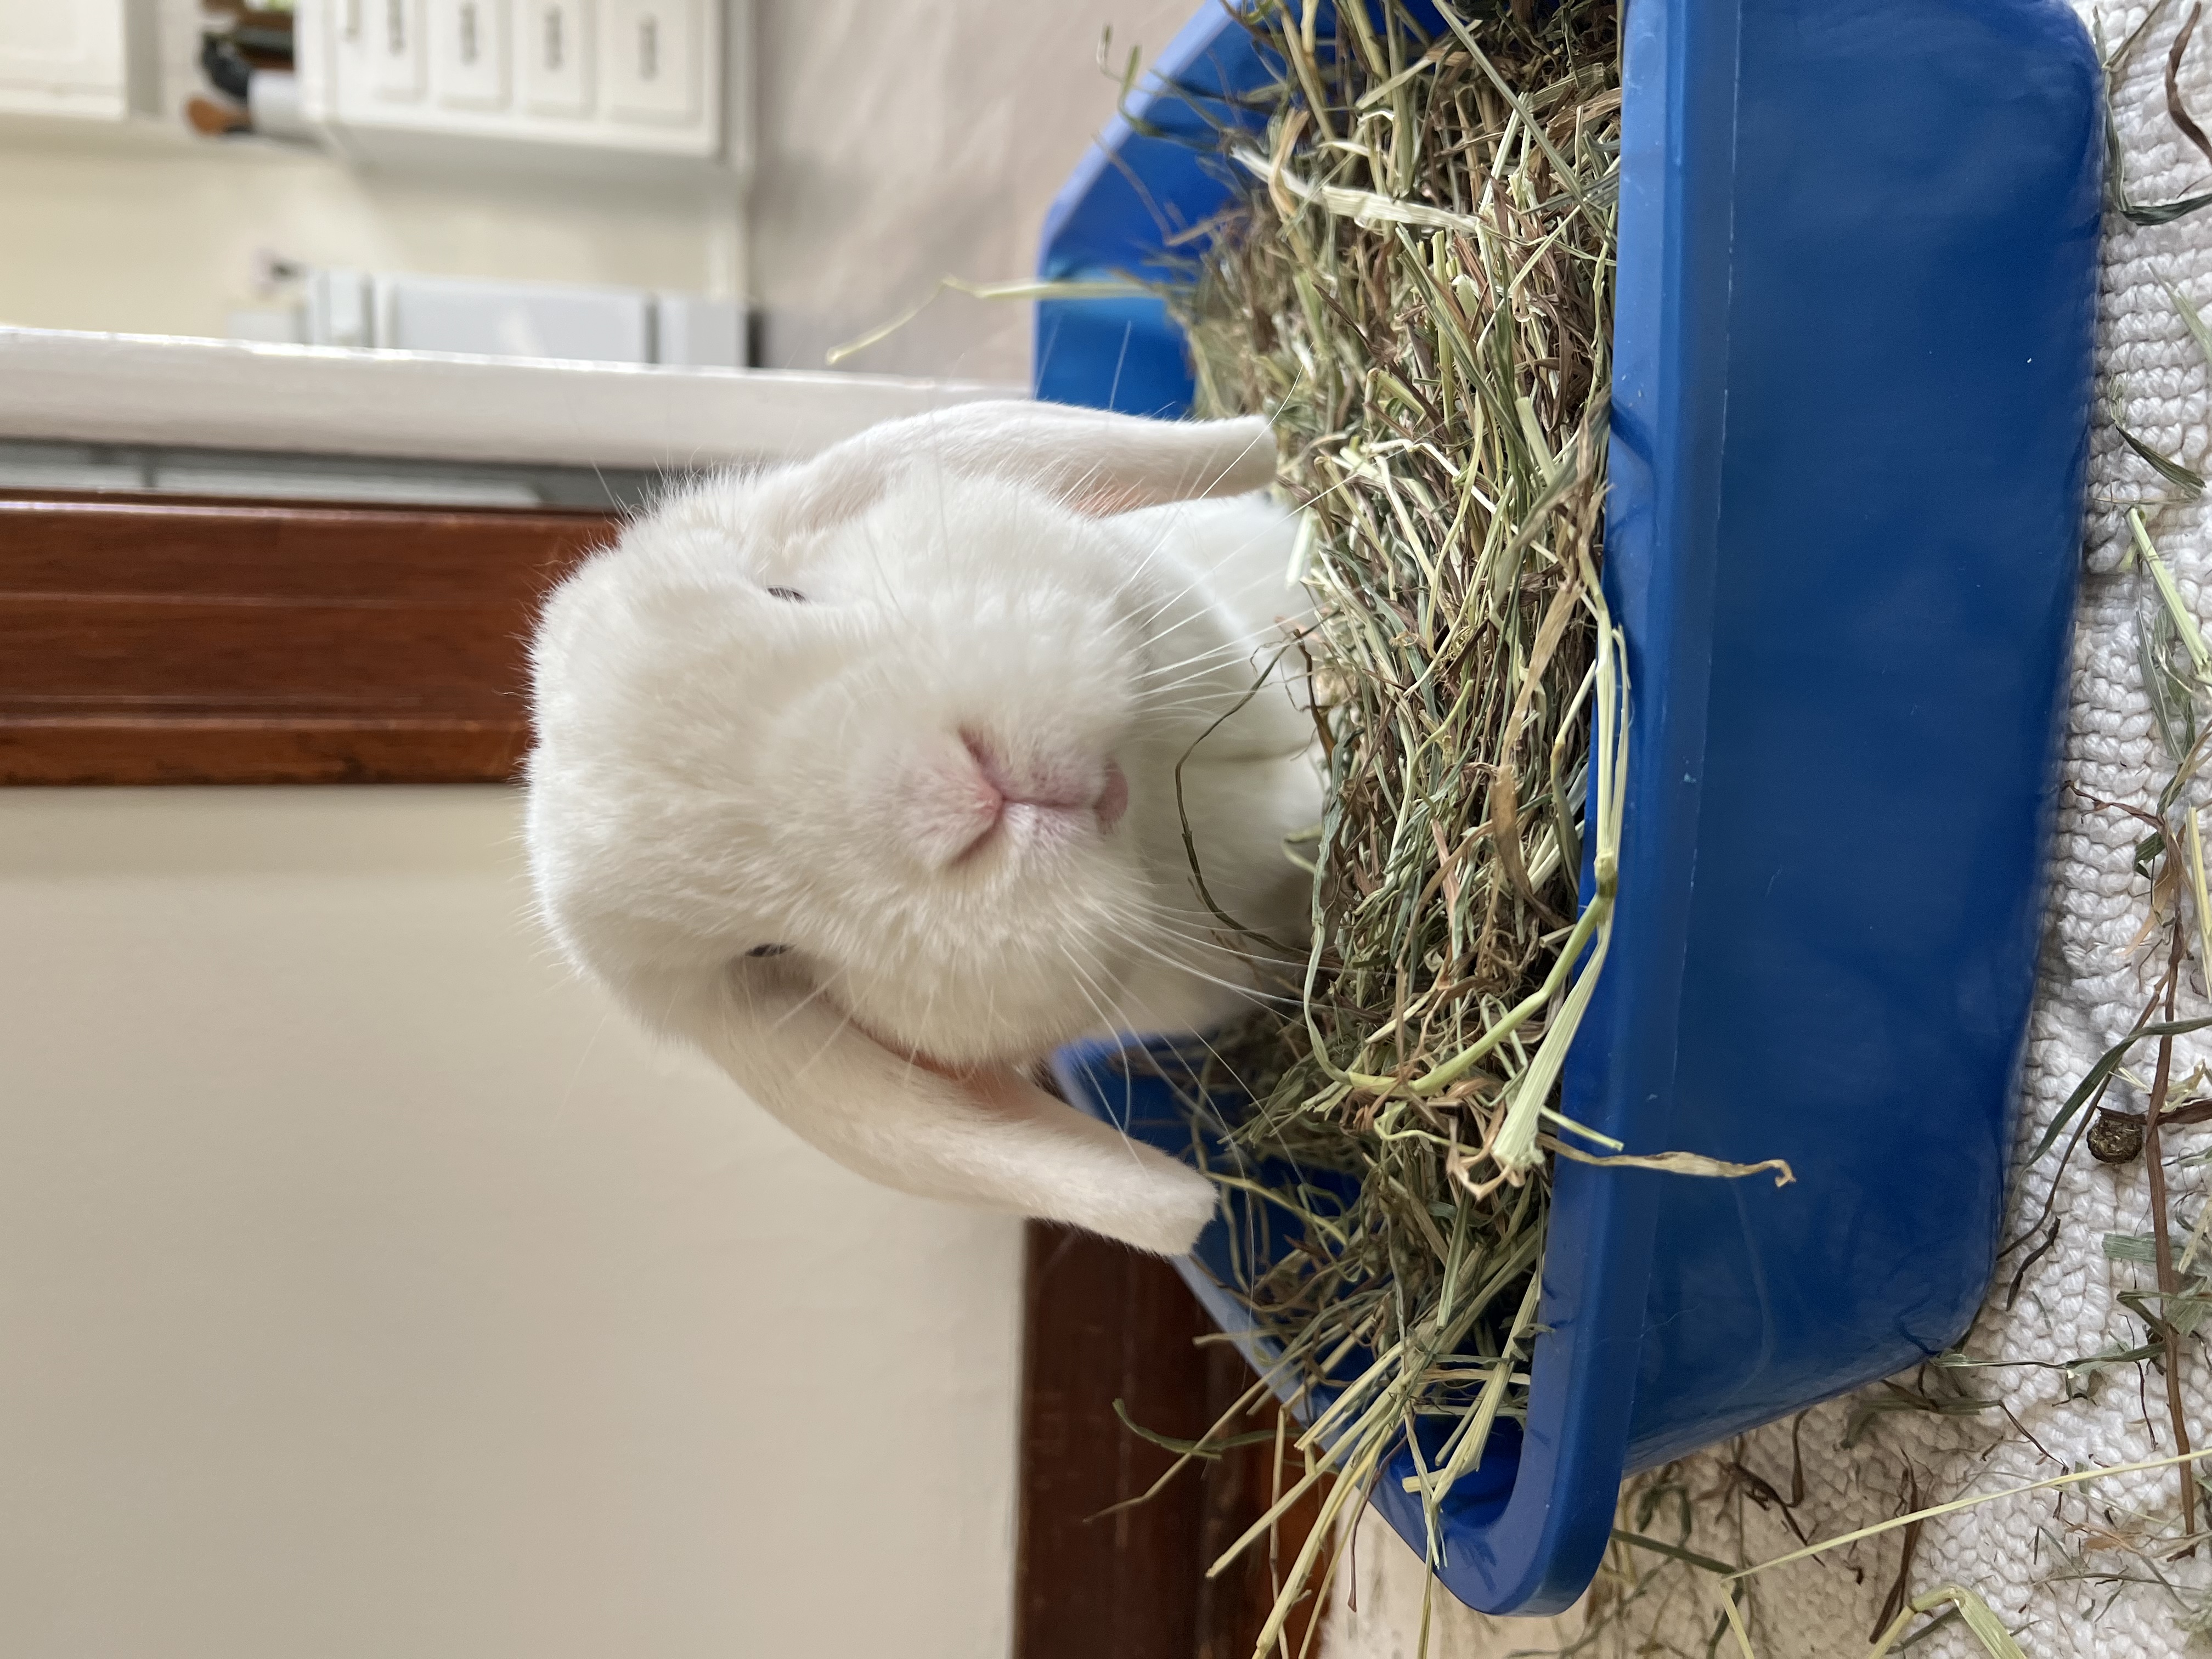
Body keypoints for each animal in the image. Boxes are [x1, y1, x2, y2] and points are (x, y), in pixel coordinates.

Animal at [524, 400, 1321, 1256]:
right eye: (766, 954)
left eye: (785, 593)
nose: (965, 794)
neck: (1150, 814)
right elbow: (1290, 804)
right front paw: (1326, 783)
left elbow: (1270, 721)